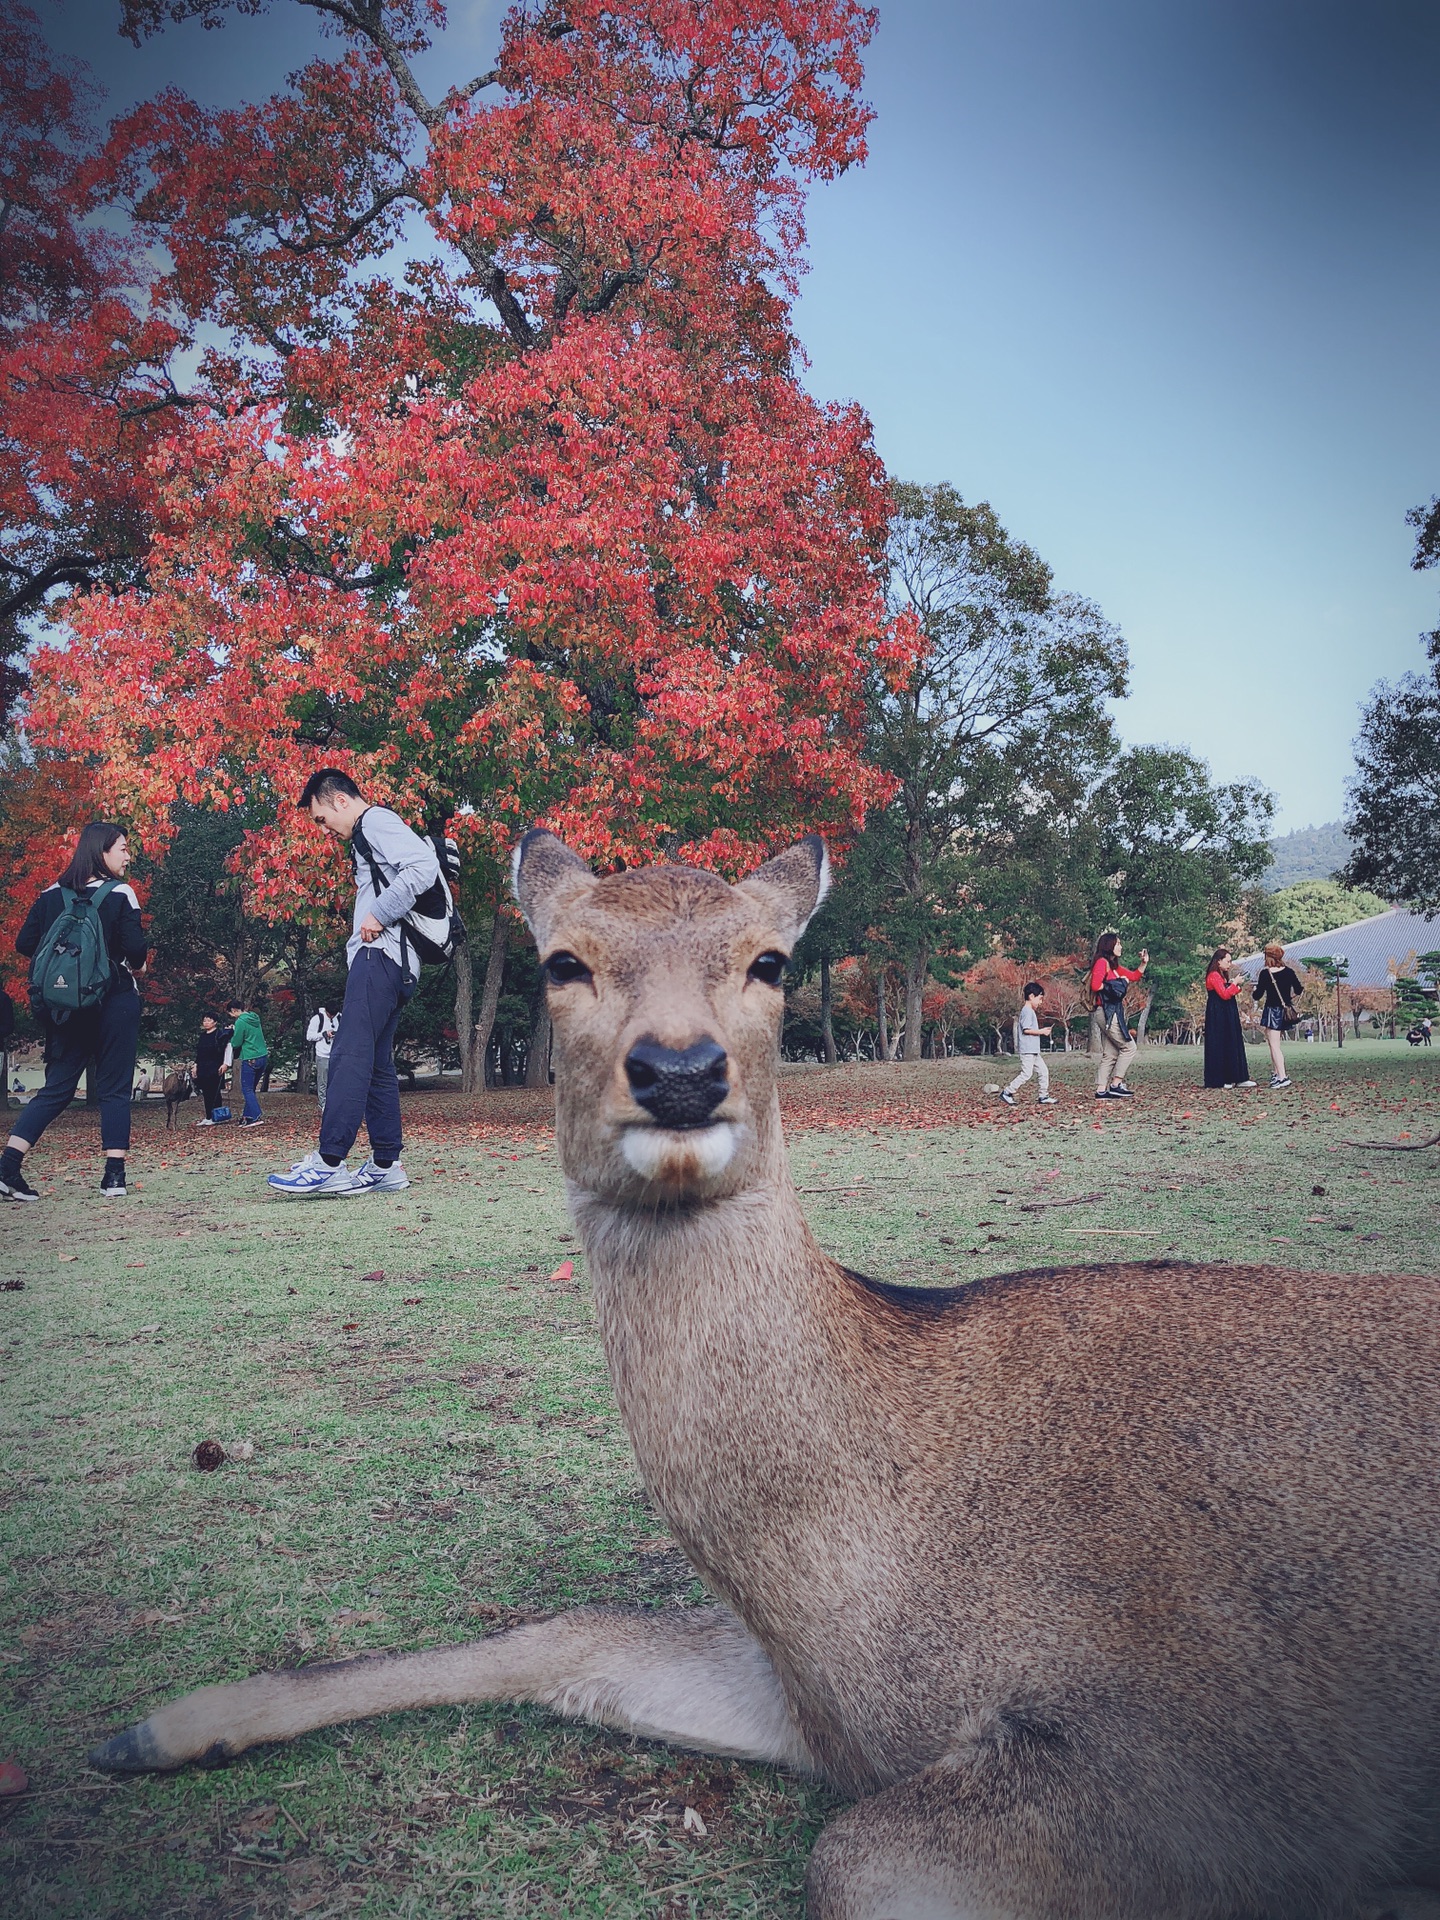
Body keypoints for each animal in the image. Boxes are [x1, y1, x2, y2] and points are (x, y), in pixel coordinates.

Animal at [93, 837, 1440, 1920]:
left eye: (772, 962)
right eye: (562, 961)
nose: (681, 1070)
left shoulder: (1242, 1774)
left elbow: (850, 1858)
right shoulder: (808, 1702)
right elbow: (574, 1638)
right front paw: (157, 1730)